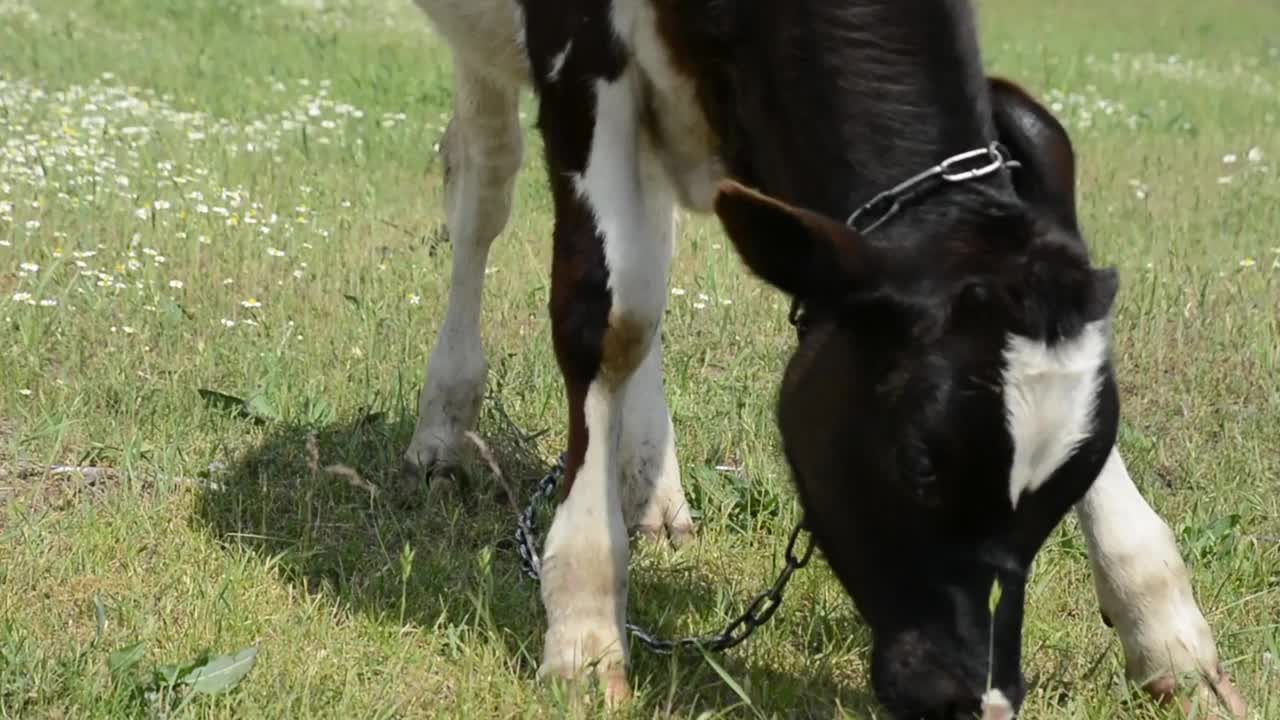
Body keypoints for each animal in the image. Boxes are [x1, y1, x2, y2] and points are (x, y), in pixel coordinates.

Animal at [401, 0, 1249, 712]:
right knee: (484, 182)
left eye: (1078, 467)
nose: (979, 697)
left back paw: (655, 492)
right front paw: (583, 634)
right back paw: (443, 431)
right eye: (919, 461)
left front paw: (1167, 634)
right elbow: (609, 319)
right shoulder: (579, 49)